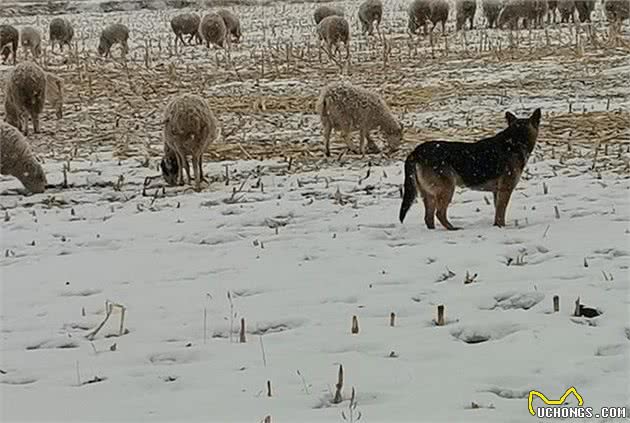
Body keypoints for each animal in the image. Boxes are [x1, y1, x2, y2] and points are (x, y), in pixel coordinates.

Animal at [402, 107, 540, 230]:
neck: (515, 140)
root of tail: (416, 152)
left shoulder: (497, 192)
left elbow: (498, 212)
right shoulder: (505, 189)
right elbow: (501, 213)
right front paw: (501, 228)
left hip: (429, 194)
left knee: (428, 217)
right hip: (447, 189)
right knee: (439, 213)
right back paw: (452, 228)